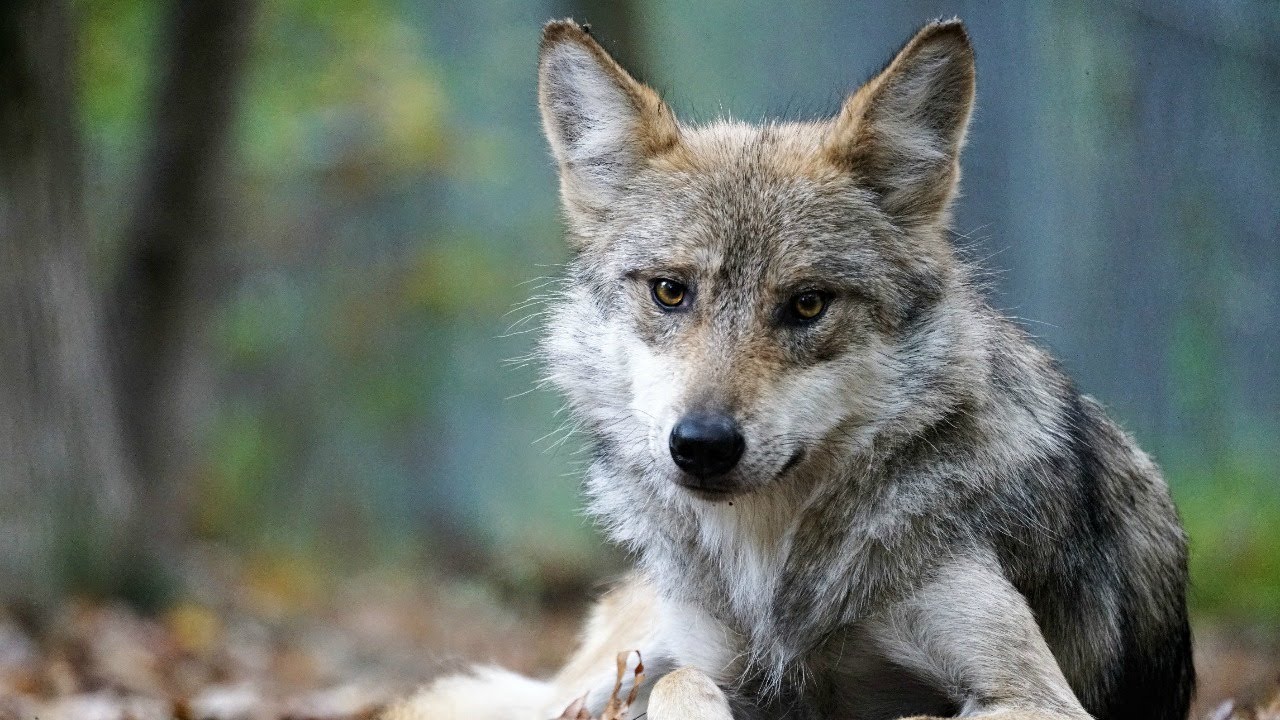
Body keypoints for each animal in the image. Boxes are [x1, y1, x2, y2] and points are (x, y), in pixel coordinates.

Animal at [386, 18, 1194, 720]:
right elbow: (682, 685)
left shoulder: (1033, 696)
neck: (771, 570)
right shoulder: (706, 665)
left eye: (807, 304)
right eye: (671, 291)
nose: (702, 445)